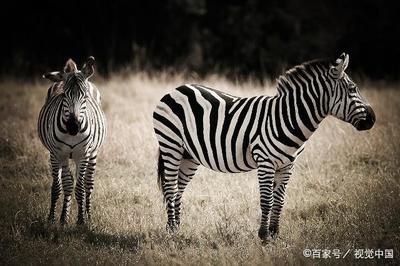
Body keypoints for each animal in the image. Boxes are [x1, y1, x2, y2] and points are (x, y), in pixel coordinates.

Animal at [37, 56, 106, 224]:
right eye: (64, 96)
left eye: (85, 97)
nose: (73, 127)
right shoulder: (57, 154)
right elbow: (59, 186)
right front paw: (53, 219)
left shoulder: (83, 155)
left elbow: (80, 188)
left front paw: (81, 220)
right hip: (62, 156)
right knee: (67, 183)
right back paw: (64, 217)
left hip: (93, 154)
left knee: (88, 184)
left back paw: (89, 216)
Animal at [152, 52, 376, 241]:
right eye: (353, 89)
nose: (373, 119)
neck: (287, 118)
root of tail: (176, 89)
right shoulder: (265, 161)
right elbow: (267, 200)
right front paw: (264, 235)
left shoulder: (288, 165)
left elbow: (279, 200)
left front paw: (275, 234)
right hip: (171, 146)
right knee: (170, 188)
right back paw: (171, 232)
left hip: (189, 156)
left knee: (178, 190)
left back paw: (177, 228)